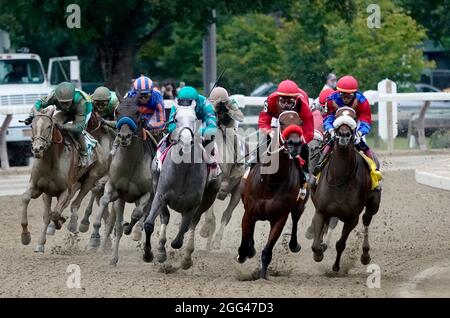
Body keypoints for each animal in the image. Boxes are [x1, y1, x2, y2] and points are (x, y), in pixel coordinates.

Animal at [21, 105, 109, 252]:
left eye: (49, 126)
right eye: (32, 125)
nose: (37, 148)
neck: (51, 161)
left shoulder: (65, 190)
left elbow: (55, 213)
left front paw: (60, 221)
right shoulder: (41, 189)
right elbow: (29, 201)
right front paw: (28, 238)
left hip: (91, 177)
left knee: (76, 203)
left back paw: (74, 224)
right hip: (75, 183)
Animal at [86, 97, 156, 266]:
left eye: (137, 112)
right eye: (117, 111)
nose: (124, 136)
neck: (130, 164)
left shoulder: (147, 193)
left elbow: (137, 214)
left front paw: (129, 228)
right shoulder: (116, 190)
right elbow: (105, 202)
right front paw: (96, 234)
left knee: (143, 217)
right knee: (114, 221)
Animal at [236, 111, 310, 278]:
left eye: (301, 122)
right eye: (281, 122)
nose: (295, 143)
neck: (271, 181)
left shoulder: (280, 217)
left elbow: (267, 252)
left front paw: (263, 276)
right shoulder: (248, 212)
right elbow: (244, 243)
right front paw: (244, 253)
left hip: (299, 206)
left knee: (295, 219)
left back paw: (294, 245)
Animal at [312, 107, 382, 270]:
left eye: (354, 118)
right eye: (337, 115)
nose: (344, 135)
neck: (339, 178)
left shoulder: (352, 218)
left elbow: (340, 244)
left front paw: (336, 267)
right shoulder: (321, 211)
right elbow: (315, 246)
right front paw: (319, 253)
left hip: (373, 204)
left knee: (367, 220)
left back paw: (365, 254)